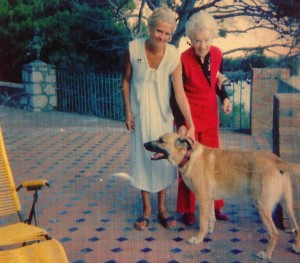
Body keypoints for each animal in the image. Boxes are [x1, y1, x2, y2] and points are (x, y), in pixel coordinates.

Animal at [144, 133, 298, 260]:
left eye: (161, 140)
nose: (144, 144)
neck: (189, 156)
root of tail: (277, 161)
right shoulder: (209, 199)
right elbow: (211, 218)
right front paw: (209, 231)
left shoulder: (203, 198)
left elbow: (203, 222)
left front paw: (198, 239)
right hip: (287, 204)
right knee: (296, 227)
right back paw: (296, 247)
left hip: (262, 206)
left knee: (274, 232)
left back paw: (266, 255)